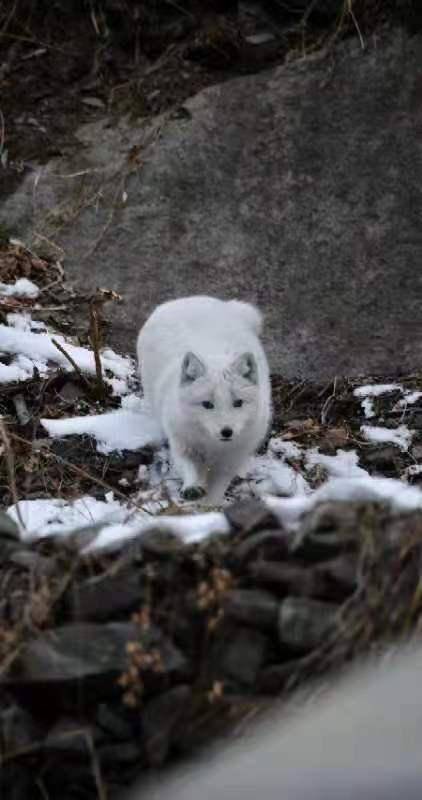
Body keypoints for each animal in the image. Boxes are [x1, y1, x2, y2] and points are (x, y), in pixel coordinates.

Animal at [137, 296, 272, 504]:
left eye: (238, 403)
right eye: (207, 404)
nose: (227, 431)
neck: (213, 446)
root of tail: (189, 299)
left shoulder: (230, 461)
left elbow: (217, 490)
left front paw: (208, 507)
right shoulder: (182, 444)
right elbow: (190, 469)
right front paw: (192, 488)